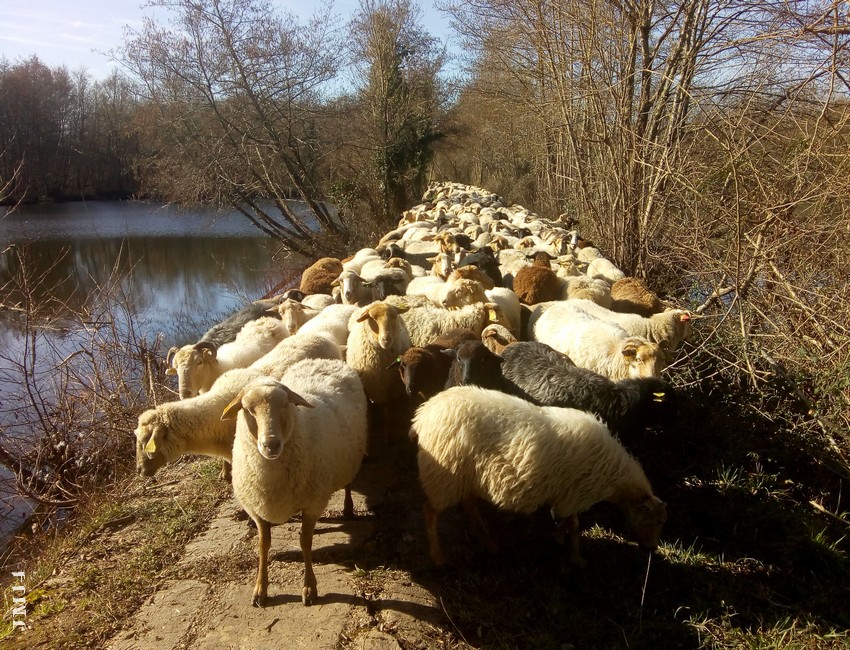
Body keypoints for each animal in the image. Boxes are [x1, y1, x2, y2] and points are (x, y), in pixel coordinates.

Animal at [224, 358, 368, 606]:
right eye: (248, 409)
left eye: (285, 404)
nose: (271, 444)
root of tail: (325, 360)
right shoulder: (257, 509)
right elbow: (263, 545)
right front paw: (260, 589)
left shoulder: (312, 504)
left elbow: (305, 543)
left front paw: (309, 588)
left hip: (349, 462)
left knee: (348, 484)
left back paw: (348, 508)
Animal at [409, 386, 667, 566]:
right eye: (655, 521)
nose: (652, 549)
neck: (615, 479)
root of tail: (423, 414)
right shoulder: (573, 495)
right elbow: (574, 525)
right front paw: (576, 557)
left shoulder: (566, 495)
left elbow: (569, 523)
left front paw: (559, 537)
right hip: (445, 477)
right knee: (430, 511)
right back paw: (438, 556)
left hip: (468, 477)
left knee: (471, 507)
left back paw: (490, 544)